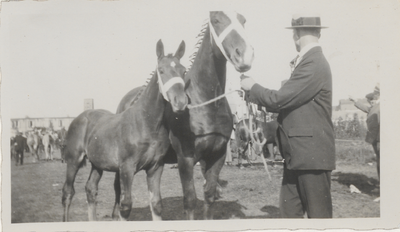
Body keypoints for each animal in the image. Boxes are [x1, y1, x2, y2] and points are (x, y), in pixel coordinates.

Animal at [62, 40, 188, 221]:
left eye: (184, 71)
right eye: (162, 70)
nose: (181, 102)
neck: (147, 124)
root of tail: (80, 117)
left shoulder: (155, 167)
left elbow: (156, 204)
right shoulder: (127, 168)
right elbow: (126, 206)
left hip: (97, 163)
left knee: (90, 189)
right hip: (73, 160)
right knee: (67, 193)